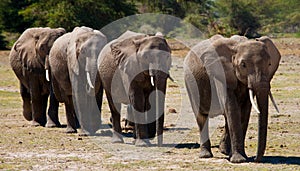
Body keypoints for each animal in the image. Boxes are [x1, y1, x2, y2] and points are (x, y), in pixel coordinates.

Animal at [183, 34, 282, 163]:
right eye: (243, 65)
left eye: (269, 64)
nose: (256, 159)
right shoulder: (221, 74)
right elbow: (232, 108)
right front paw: (239, 160)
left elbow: (244, 111)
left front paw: (241, 157)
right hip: (191, 85)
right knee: (201, 117)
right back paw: (206, 155)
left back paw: (224, 151)